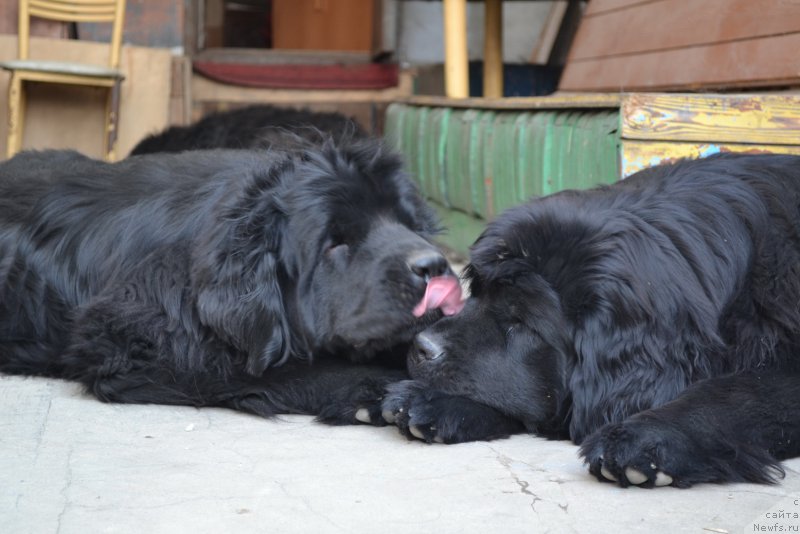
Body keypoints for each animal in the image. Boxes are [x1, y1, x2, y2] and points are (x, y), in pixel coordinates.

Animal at [0, 140, 462, 426]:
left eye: (408, 224)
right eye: (335, 242)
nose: (432, 265)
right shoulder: (131, 340)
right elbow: (270, 368)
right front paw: (373, 388)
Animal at [382, 154, 800, 490]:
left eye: (522, 322)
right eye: (478, 291)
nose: (421, 347)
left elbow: (732, 393)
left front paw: (645, 438)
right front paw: (429, 399)